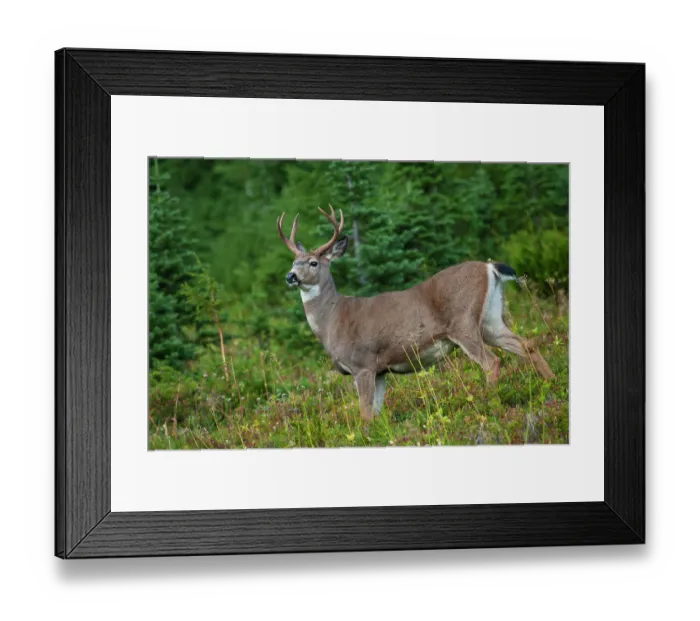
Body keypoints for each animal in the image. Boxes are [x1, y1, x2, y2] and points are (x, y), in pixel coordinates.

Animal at [277, 205, 555, 422]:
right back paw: (551, 383)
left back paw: (491, 402)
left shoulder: (363, 364)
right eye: (293, 263)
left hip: (463, 323)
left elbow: (365, 416)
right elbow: (376, 415)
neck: (333, 320)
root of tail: (490, 268)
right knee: (526, 344)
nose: (290, 276)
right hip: (490, 321)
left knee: (492, 362)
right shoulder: (380, 370)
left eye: (313, 262)